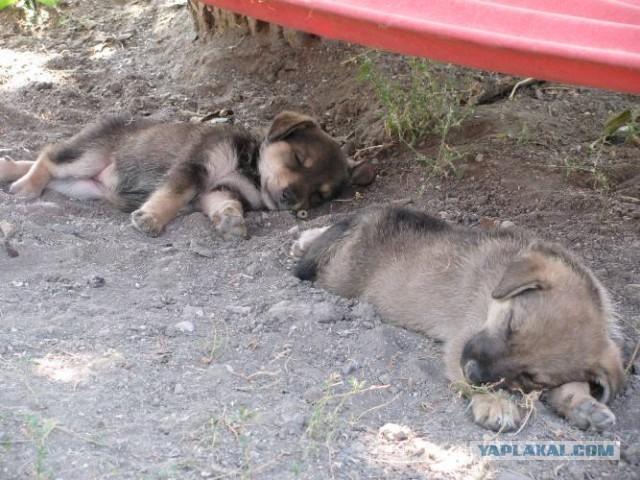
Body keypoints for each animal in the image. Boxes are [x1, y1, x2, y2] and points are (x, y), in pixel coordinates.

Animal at [0, 112, 372, 240]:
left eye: (320, 196)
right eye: (297, 159)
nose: (292, 199)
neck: (247, 169)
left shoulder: (216, 190)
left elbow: (224, 204)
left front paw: (230, 222)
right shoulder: (195, 166)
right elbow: (172, 194)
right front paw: (151, 219)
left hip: (81, 186)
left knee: (46, 164)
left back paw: (9, 168)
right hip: (89, 156)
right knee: (48, 154)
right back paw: (25, 186)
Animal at [294, 208, 624, 434]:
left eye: (532, 377)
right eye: (510, 325)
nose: (473, 371)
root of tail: (367, 217)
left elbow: (574, 385)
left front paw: (585, 406)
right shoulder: (461, 341)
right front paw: (495, 403)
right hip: (337, 277)